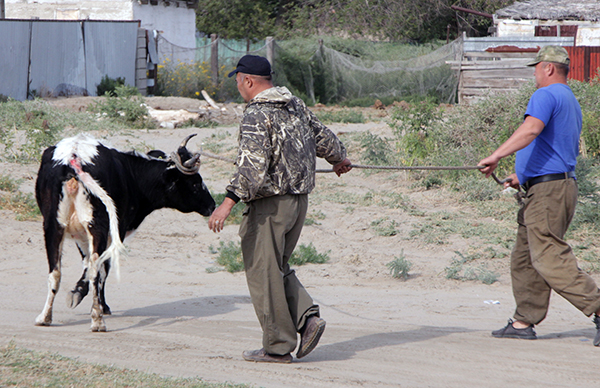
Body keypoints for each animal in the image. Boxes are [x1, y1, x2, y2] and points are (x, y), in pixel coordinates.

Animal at [35, 133, 216, 330]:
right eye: (195, 183)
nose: (212, 205)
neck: (131, 174)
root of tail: (73, 159)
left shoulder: (81, 235)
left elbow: (86, 263)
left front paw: (80, 293)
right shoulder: (115, 231)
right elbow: (102, 268)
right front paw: (96, 303)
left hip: (53, 226)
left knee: (56, 272)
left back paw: (45, 317)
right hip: (96, 226)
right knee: (96, 269)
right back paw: (97, 321)